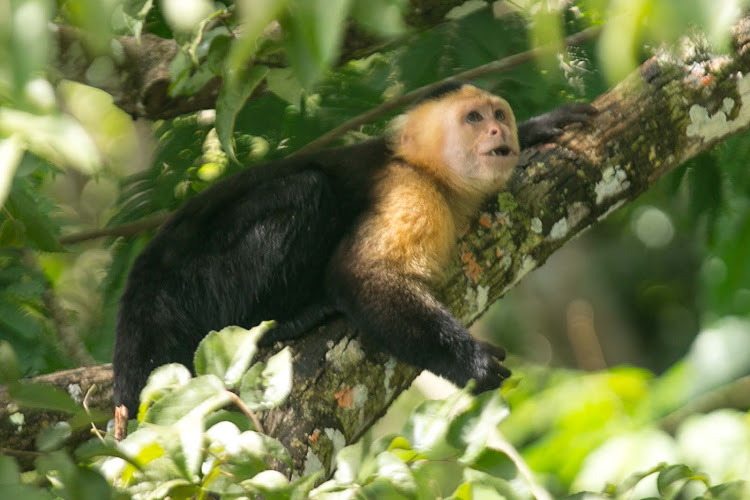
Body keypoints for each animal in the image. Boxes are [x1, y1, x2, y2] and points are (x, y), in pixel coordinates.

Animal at [113, 83, 592, 414]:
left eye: (499, 115)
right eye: (473, 118)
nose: (498, 129)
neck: (429, 172)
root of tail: (146, 277)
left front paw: (538, 127)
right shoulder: (409, 191)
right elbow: (360, 276)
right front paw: (470, 361)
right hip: (198, 285)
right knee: (306, 190)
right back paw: (282, 322)